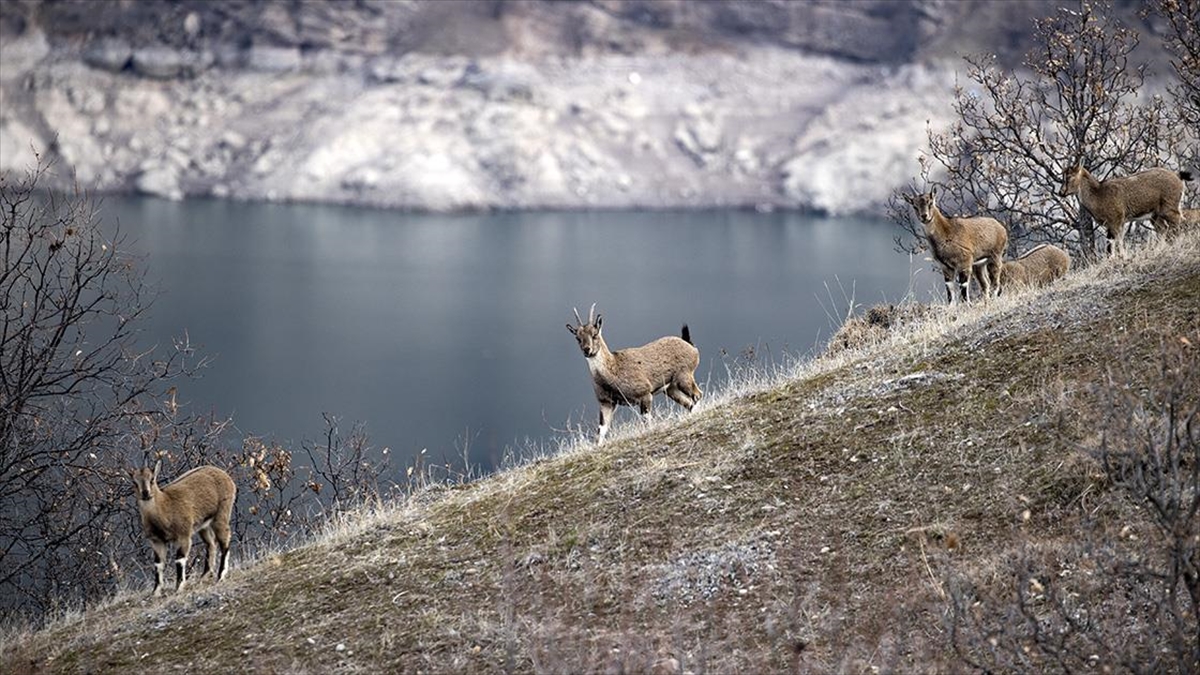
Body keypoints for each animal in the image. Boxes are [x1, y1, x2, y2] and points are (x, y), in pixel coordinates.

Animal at [132, 456, 235, 593]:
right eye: (134, 482)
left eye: (152, 479)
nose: (145, 493)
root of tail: (225, 475)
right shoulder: (157, 541)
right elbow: (158, 564)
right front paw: (156, 591)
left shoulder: (183, 535)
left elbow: (179, 560)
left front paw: (179, 587)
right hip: (204, 526)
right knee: (211, 544)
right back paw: (204, 576)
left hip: (221, 514)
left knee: (225, 541)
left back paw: (220, 575)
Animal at [564, 303, 700, 441]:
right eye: (578, 338)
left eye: (594, 334)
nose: (587, 350)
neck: (613, 369)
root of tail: (689, 345)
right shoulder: (606, 403)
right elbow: (600, 432)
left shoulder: (645, 395)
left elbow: (647, 422)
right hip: (671, 388)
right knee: (689, 403)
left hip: (684, 377)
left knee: (697, 395)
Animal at [1060, 162, 1190, 255]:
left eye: (1069, 177)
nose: (1061, 192)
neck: (1098, 196)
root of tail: (1178, 177)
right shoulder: (1112, 224)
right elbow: (1112, 243)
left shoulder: (1116, 220)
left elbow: (1118, 241)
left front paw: (1122, 257)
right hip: (1155, 215)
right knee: (1163, 229)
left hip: (1169, 207)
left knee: (1180, 221)